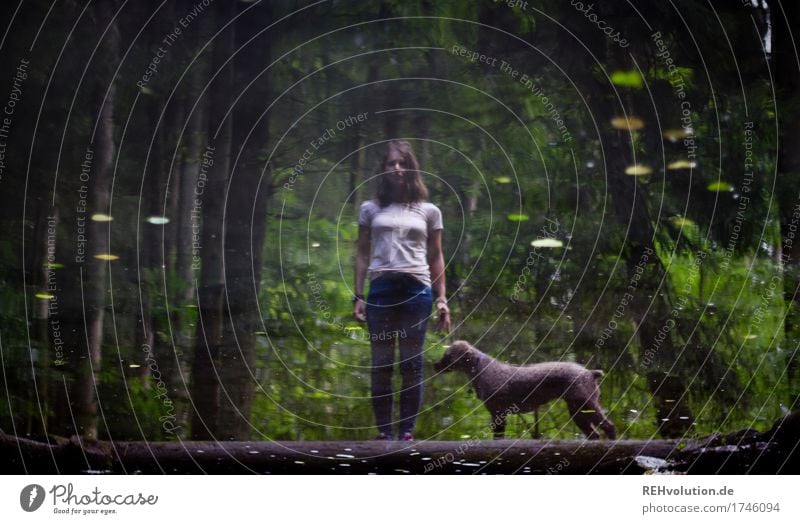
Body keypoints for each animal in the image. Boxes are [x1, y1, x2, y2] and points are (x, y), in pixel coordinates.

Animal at [434, 340, 616, 438]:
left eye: (448, 356)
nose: (434, 366)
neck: (480, 368)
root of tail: (591, 373)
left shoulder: (498, 413)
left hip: (587, 405)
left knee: (609, 426)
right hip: (577, 411)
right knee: (595, 434)